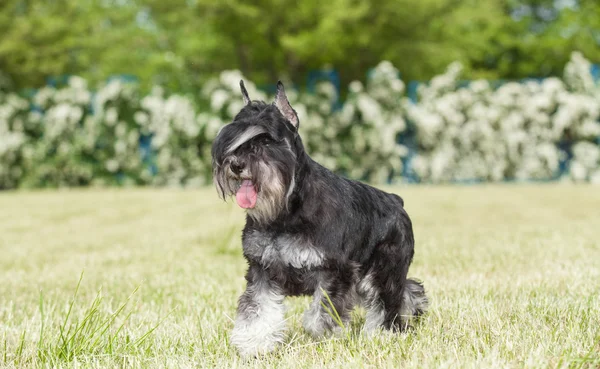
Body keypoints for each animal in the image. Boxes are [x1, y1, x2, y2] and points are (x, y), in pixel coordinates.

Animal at [211, 80, 426, 356]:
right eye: (232, 139)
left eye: (266, 140)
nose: (236, 164)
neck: (285, 214)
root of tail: (396, 200)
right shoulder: (262, 270)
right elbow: (258, 311)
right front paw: (254, 344)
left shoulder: (335, 272)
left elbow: (321, 314)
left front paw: (326, 337)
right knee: (409, 290)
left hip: (383, 273)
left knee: (388, 302)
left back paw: (382, 334)